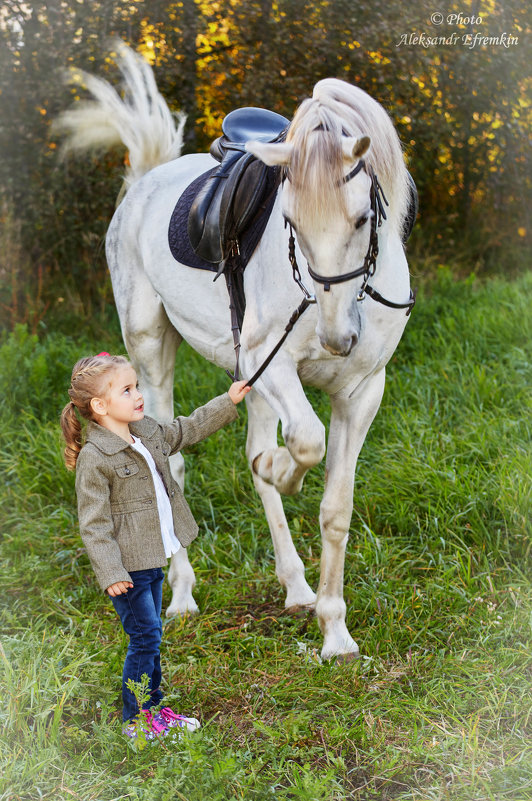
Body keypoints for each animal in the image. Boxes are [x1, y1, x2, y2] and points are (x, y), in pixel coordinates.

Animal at [59, 45, 416, 656]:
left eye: (363, 219)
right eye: (290, 222)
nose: (337, 339)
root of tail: (144, 182)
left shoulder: (362, 390)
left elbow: (334, 508)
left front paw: (335, 631)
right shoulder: (267, 366)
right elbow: (303, 442)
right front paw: (280, 470)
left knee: (247, 451)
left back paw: (296, 586)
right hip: (150, 350)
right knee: (169, 459)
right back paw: (181, 596)